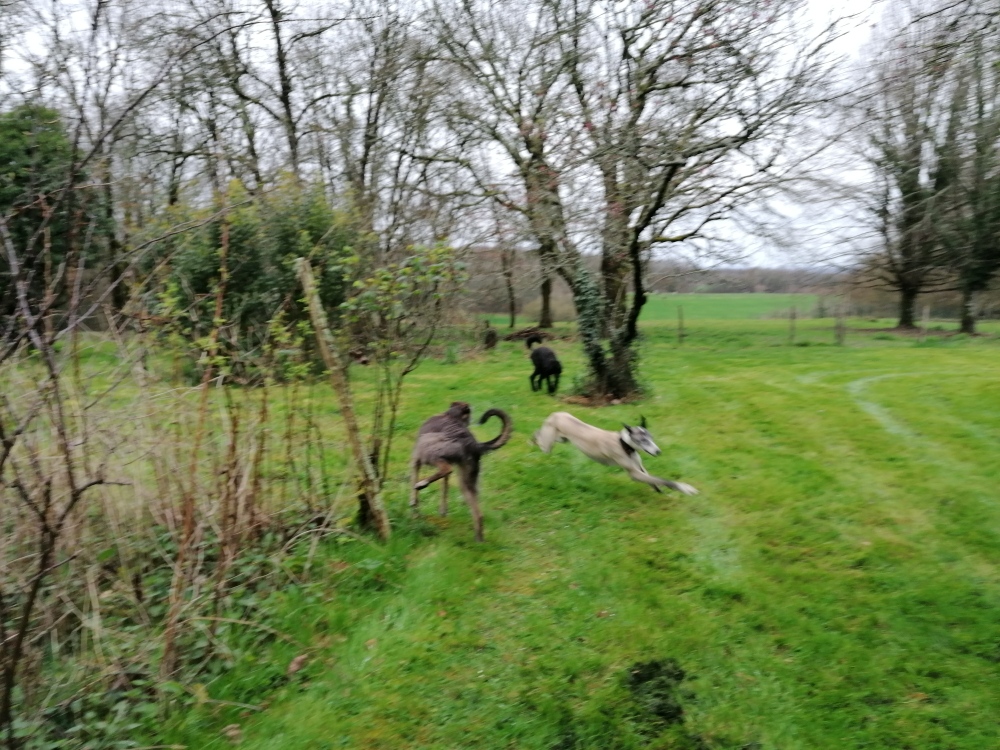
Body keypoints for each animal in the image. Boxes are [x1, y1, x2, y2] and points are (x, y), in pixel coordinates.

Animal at [408, 402, 512, 544]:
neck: (451, 416)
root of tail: (474, 445)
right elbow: (444, 488)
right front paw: (443, 511)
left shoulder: (416, 459)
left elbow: (414, 481)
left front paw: (414, 505)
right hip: (466, 482)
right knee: (479, 514)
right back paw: (479, 541)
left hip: (426, 446)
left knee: (445, 469)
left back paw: (422, 484)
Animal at [536, 414, 700, 496]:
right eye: (643, 440)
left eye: (651, 438)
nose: (658, 451)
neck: (625, 444)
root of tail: (555, 414)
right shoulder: (634, 473)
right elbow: (664, 480)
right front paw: (685, 488)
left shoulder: (639, 467)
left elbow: (654, 480)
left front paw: (661, 492)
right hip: (549, 443)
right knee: (538, 439)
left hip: (561, 439)